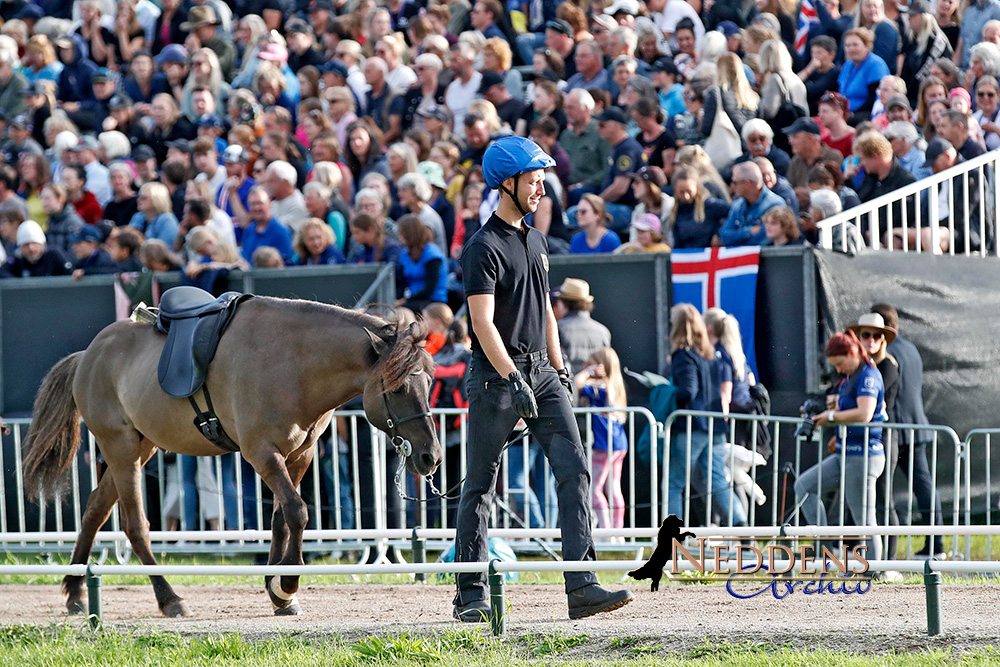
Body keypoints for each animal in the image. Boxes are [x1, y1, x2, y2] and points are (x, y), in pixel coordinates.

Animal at [19, 294, 440, 620]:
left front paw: (276, 590)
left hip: (140, 448)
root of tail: (88, 354)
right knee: (135, 526)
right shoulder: (262, 454)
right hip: (120, 449)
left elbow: (281, 518)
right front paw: (287, 584)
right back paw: (169, 599)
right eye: (398, 387)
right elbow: (298, 511)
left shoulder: (298, 457)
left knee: (94, 510)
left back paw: (76, 592)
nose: (430, 457)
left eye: (430, 382)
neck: (294, 363)